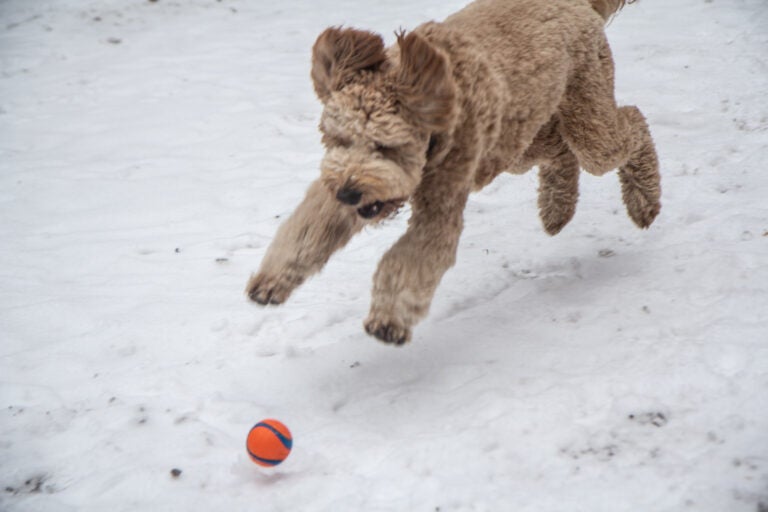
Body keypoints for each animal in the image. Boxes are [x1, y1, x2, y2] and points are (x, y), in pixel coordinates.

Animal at [244, 0, 660, 346]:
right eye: (339, 139)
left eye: (385, 145)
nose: (349, 193)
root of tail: (577, 3)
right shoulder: (341, 184)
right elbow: (309, 226)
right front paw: (271, 280)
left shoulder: (442, 196)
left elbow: (413, 255)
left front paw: (389, 320)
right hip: (520, 138)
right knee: (559, 151)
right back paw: (557, 210)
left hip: (586, 119)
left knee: (631, 123)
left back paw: (644, 202)